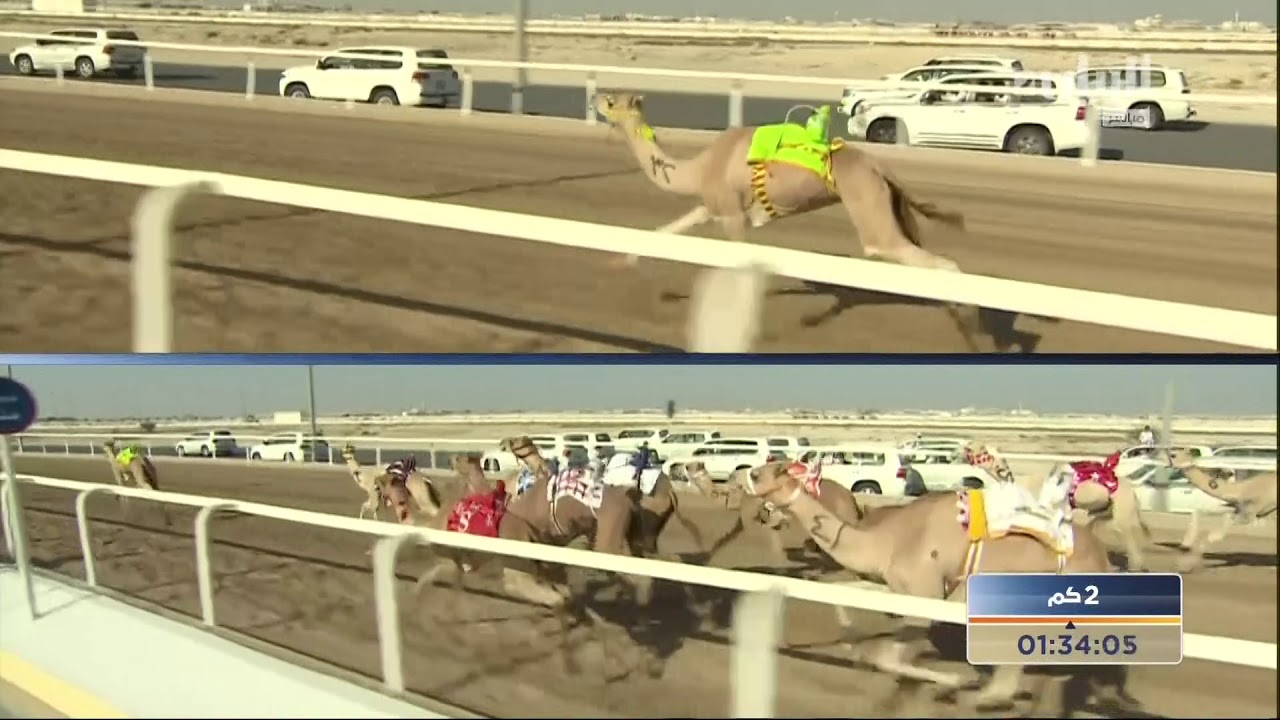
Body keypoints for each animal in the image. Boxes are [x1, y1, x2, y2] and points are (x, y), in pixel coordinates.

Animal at [591, 92, 990, 351]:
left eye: (612, 102)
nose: (596, 99)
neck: (698, 169)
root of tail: (880, 167)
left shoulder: (733, 217)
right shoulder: (713, 206)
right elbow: (665, 230)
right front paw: (622, 263)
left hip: (868, 205)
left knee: (935, 262)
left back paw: (975, 329)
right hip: (889, 205)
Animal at [744, 461, 1113, 709]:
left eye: (760, 474)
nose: (742, 475)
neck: (884, 539)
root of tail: (1101, 554)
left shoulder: (928, 594)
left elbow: (889, 659)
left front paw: (955, 681)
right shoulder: (897, 587)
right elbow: (845, 598)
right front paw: (852, 647)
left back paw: (992, 696)